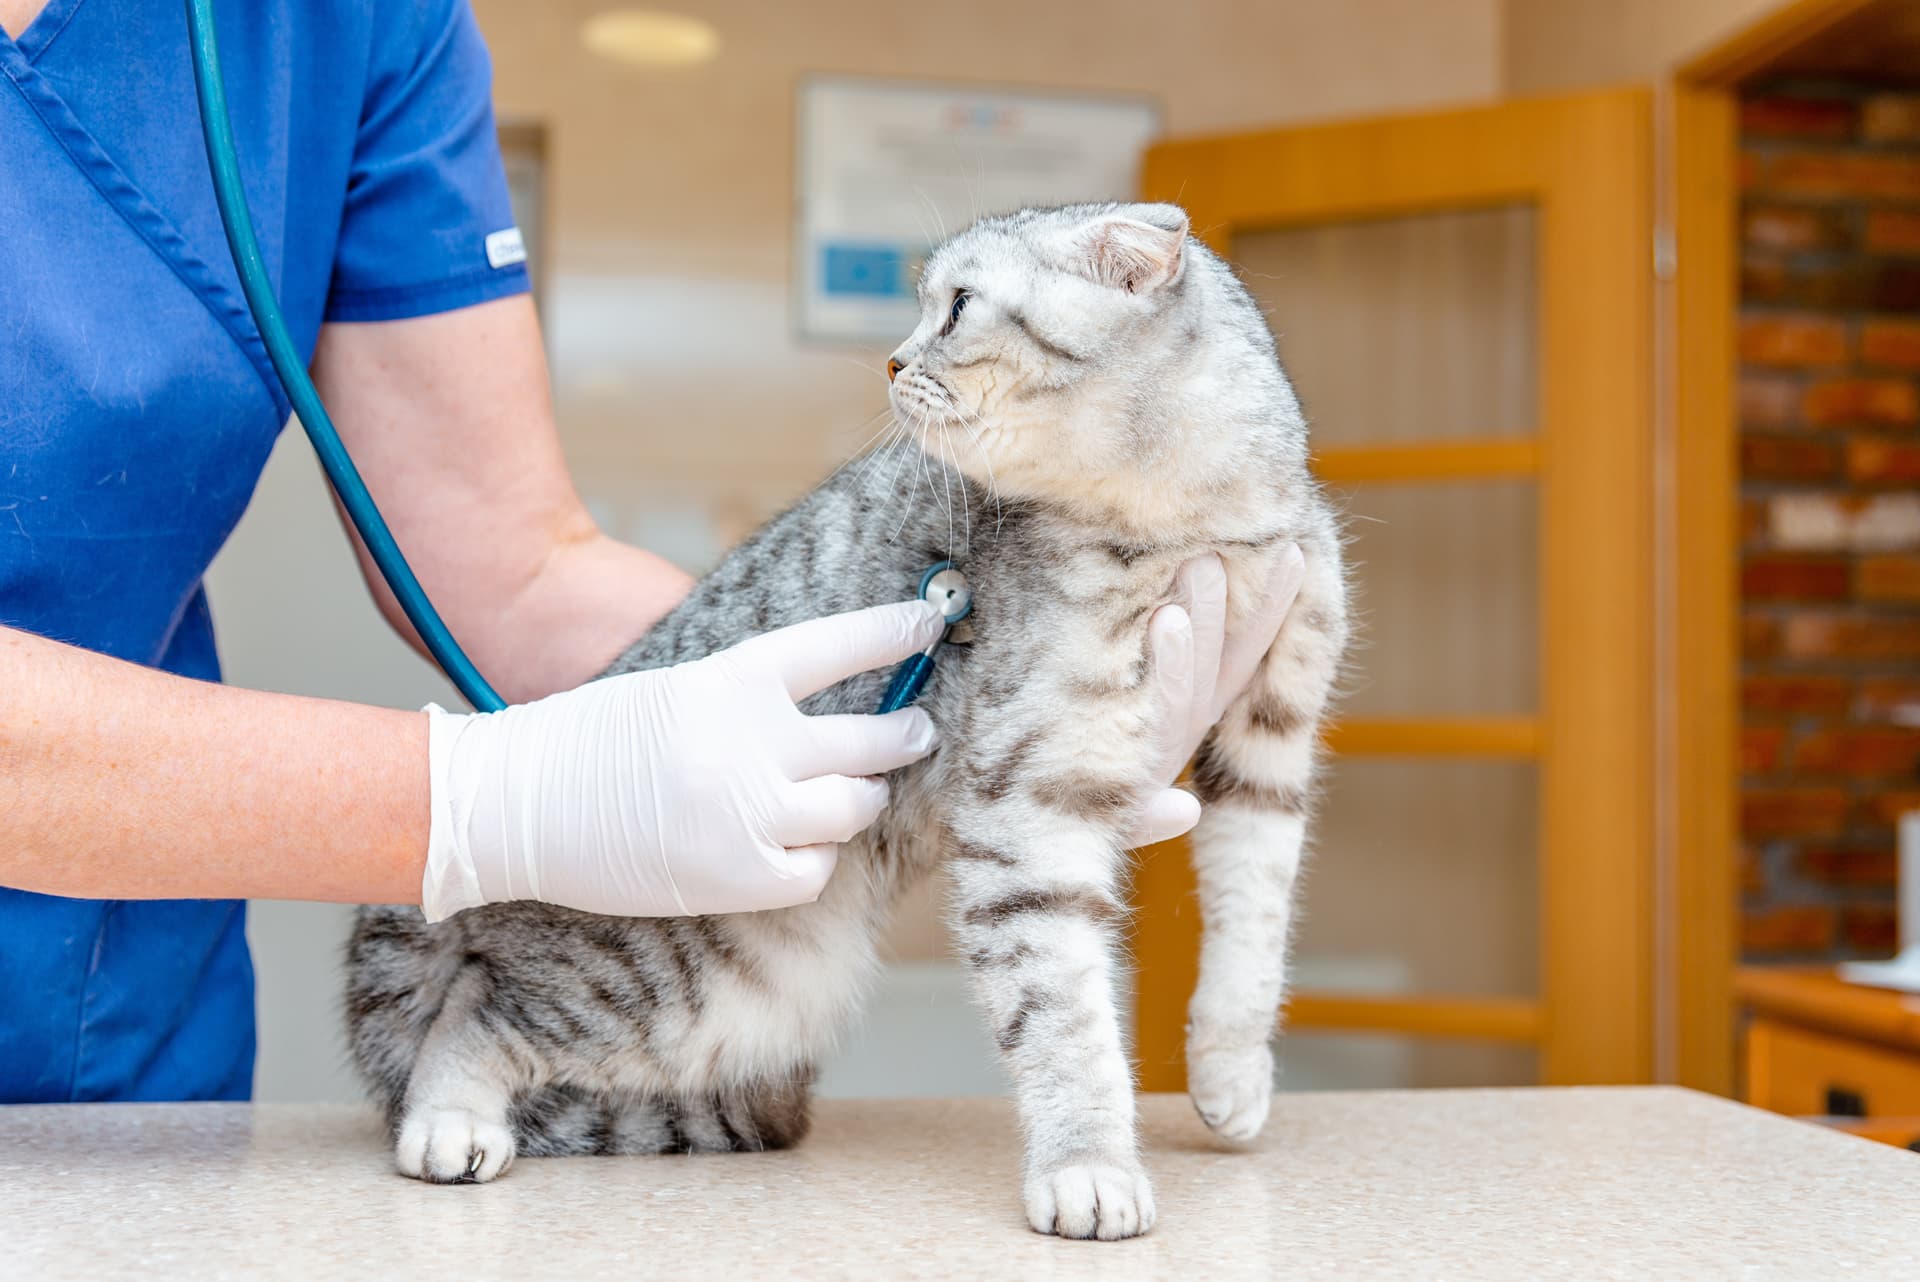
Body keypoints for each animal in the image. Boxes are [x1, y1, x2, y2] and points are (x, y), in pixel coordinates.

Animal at [353, 202, 1359, 1243]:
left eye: (957, 306)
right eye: (927, 305)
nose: (890, 359)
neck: (1194, 527)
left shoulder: (1272, 744)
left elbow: (1254, 922)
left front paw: (1231, 1068)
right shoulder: (1025, 804)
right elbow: (1063, 1014)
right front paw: (1087, 1161)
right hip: (668, 979)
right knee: (474, 1002)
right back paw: (450, 1118)